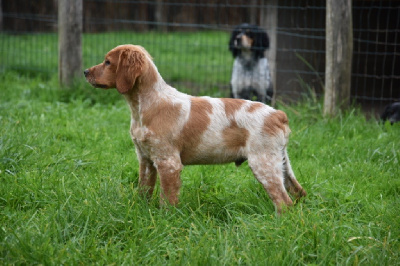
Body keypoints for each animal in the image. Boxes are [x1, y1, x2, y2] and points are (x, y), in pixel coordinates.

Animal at [83, 44, 304, 214]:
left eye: (108, 62)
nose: (85, 72)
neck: (145, 106)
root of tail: (278, 114)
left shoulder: (168, 162)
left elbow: (167, 199)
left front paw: (166, 220)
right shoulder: (145, 160)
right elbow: (144, 191)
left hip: (263, 163)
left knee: (284, 202)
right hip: (280, 161)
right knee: (297, 193)